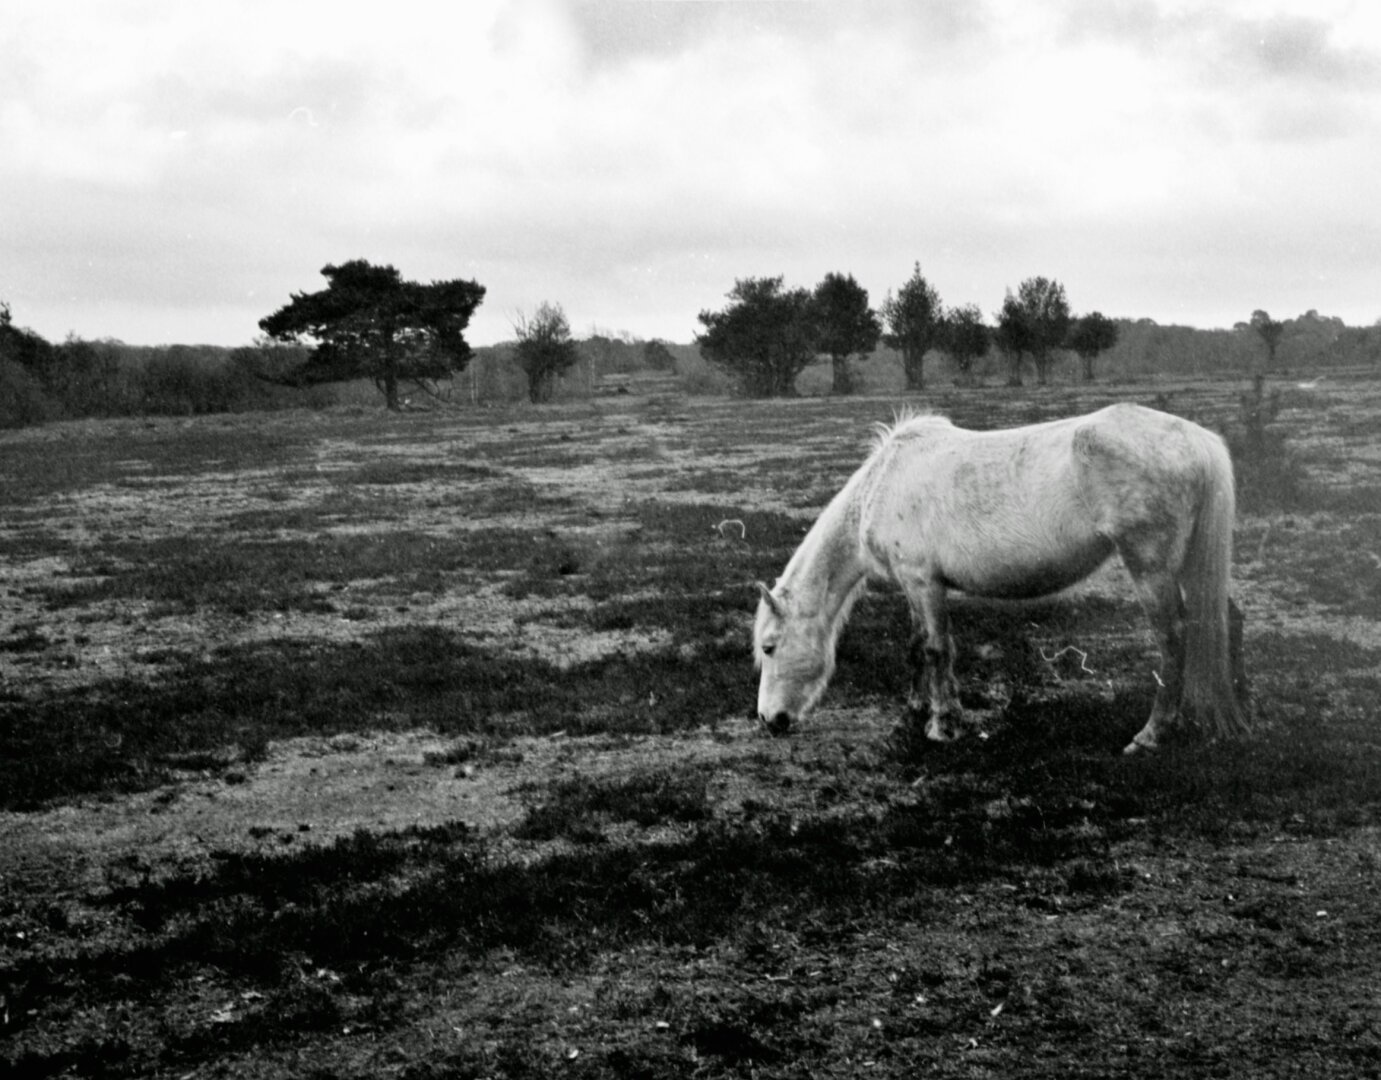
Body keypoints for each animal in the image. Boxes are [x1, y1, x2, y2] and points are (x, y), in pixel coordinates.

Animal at [753, 403, 1250, 754]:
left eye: (770, 647)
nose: (768, 720)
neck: (883, 483)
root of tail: (1196, 439)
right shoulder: (915, 587)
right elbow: (917, 646)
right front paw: (916, 709)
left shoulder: (923, 583)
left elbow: (936, 649)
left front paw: (943, 725)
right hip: (1188, 565)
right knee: (1227, 619)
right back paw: (1237, 715)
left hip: (1151, 566)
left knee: (1174, 636)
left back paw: (1150, 734)